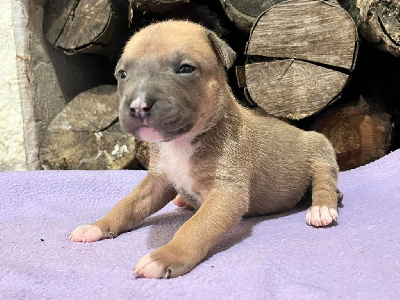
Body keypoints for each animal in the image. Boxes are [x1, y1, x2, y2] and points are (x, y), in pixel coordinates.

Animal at [70, 20, 340, 278]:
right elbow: (127, 204)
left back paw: (322, 209)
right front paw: (97, 226)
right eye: (122, 73)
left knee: (324, 181)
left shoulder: (226, 193)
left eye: (185, 69)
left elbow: (194, 227)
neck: (180, 143)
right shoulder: (158, 180)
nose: (138, 106)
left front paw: (165, 257)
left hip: (320, 149)